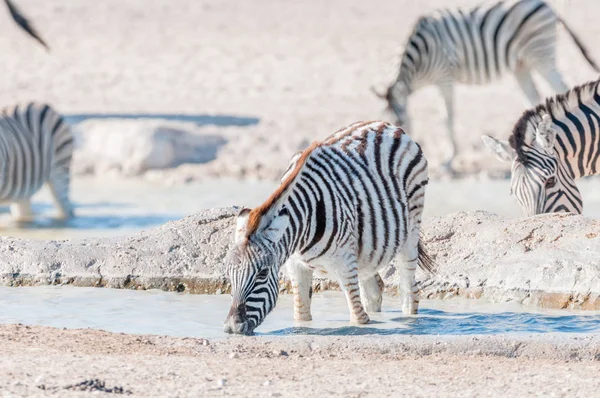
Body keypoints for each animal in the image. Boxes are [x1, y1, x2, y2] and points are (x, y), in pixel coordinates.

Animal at [223, 119, 434, 334]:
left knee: (409, 291)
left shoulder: (345, 263)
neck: (300, 235)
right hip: (367, 250)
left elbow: (358, 319)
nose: (232, 328)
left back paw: (411, 323)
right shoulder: (295, 265)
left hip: (411, 230)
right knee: (374, 290)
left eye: (262, 273)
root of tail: (388, 125)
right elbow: (301, 316)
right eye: (228, 274)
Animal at [372, 0, 596, 169]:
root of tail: (547, 6)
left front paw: (450, 160)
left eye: (400, 122)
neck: (420, 58)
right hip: (522, 64)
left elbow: (448, 117)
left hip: (541, 54)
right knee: (534, 97)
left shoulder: (445, 77)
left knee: (562, 88)